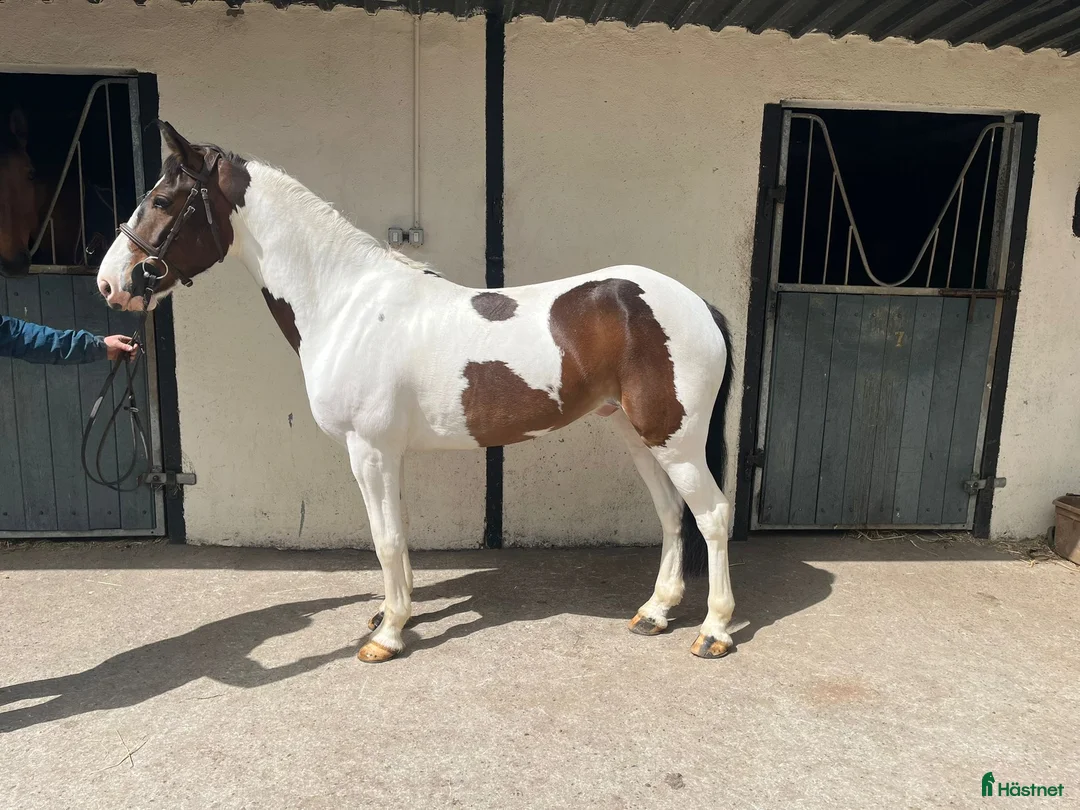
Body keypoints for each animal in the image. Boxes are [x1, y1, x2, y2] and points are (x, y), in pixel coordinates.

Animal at [95, 121, 738, 663]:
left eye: (161, 201)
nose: (109, 282)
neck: (344, 303)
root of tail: (697, 303)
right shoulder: (385, 454)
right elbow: (398, 536)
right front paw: (390, 615)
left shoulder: (369, 450)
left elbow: (385, 540)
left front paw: (388, 637)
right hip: (638, 433)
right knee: (671, 513)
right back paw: (656, 613)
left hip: (674, 440)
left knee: (712, 514)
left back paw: (714, 631)